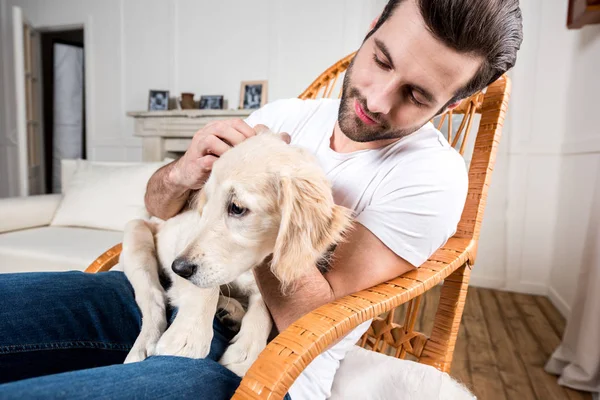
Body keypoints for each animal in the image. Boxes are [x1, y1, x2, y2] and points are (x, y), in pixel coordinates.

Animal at [120, 130, 352, 376]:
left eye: (237, 208)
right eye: (206, 203)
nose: (178, 268)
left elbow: (263, 303)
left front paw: (246, 349)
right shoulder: (185, 240)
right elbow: (205, 289)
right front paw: (188, 335)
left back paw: (230, 312)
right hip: (136, 233)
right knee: (153, 297)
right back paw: (143, 347)